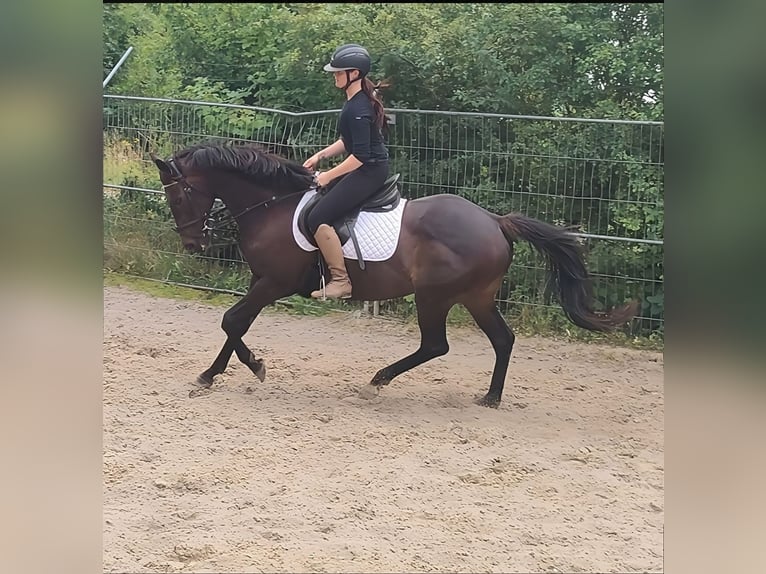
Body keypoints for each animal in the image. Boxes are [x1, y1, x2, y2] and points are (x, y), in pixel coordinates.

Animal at [151, 141, 637, 407]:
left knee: (436, 345)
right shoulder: (262, 282)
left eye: (177, 197)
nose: (192, 245)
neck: (273, 205)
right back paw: (491, 397)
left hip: (434, 296)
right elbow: (237, 324)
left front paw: (233, 371)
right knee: (502, 340)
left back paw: (379, 380)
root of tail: (495, 221)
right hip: (477, 296)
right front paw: (235, 369)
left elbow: (232, 320)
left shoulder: (273, 283)